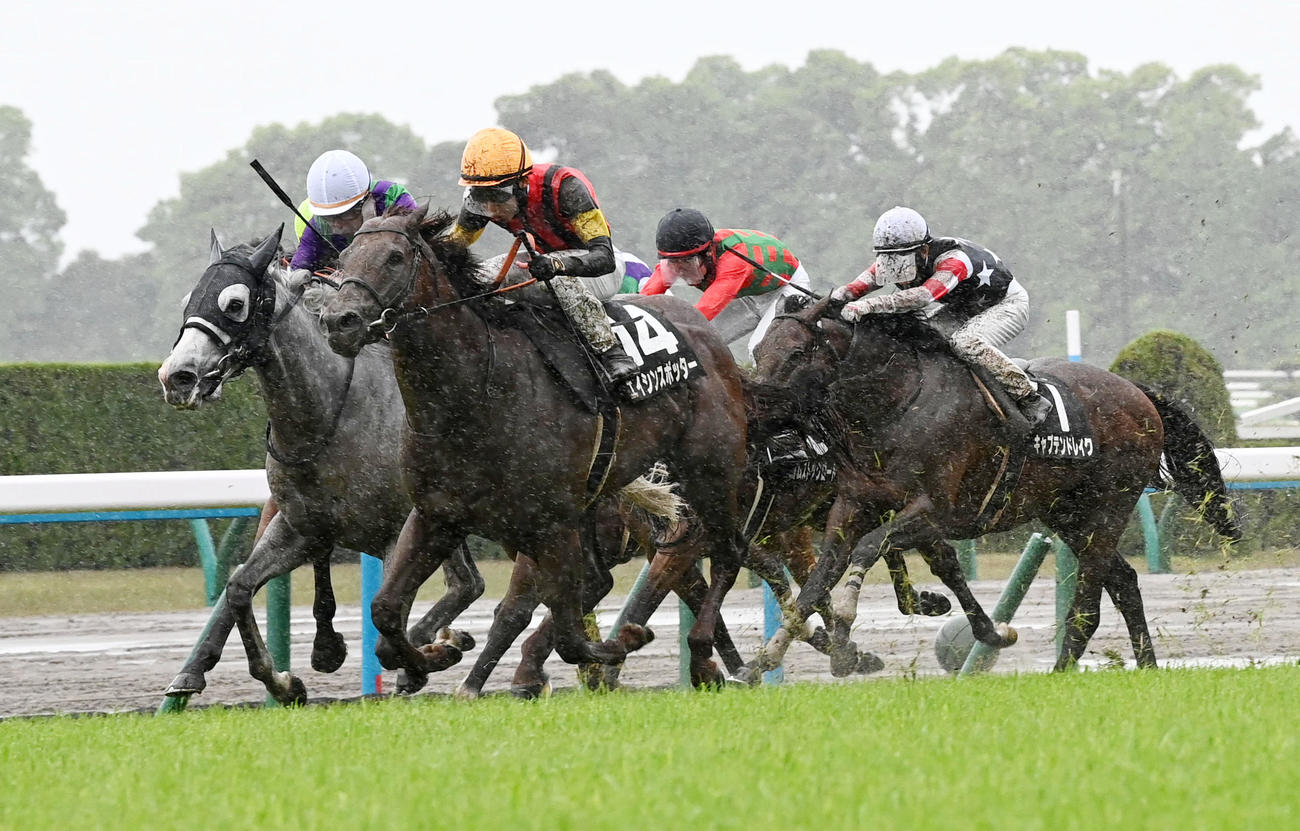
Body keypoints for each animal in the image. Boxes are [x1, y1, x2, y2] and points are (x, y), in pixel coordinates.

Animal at [320, 205, 751, 688]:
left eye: (395, 257)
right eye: (344, 257)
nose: (339, 322)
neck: (474, 394)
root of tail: (704, 328)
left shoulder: (551, 524)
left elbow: (570, 637)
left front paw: (624, 641)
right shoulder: (436, 515)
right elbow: (385, 611)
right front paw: (436, 654)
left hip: (711, 469)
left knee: (728, 551)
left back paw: (704, 653)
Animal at [743, 297, 1240, 675]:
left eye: (795, 353)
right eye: (759, 351)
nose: (754, 412)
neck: (896, 403)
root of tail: (1138, 394)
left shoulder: (931, 511)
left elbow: (870, 548)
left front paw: (847, 627)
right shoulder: (851, 507)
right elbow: (815, 585)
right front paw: (765, 662)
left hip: (1108, 509)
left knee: (1090, 603)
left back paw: (1061, 673)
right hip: (1069, 515)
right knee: (1124, 581)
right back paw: (1147, 665)